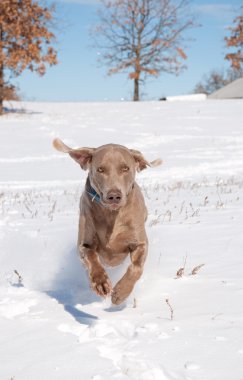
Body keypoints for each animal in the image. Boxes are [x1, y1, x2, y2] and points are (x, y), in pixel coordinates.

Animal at [52, 140, 161, 306]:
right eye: (100, 169)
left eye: (125, 168)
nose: (114, 196)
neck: (111, 215)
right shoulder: (84, 242)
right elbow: (91, 257)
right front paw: (101, 283)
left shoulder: (139, 242)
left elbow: (136, 267)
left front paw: (121, 293)